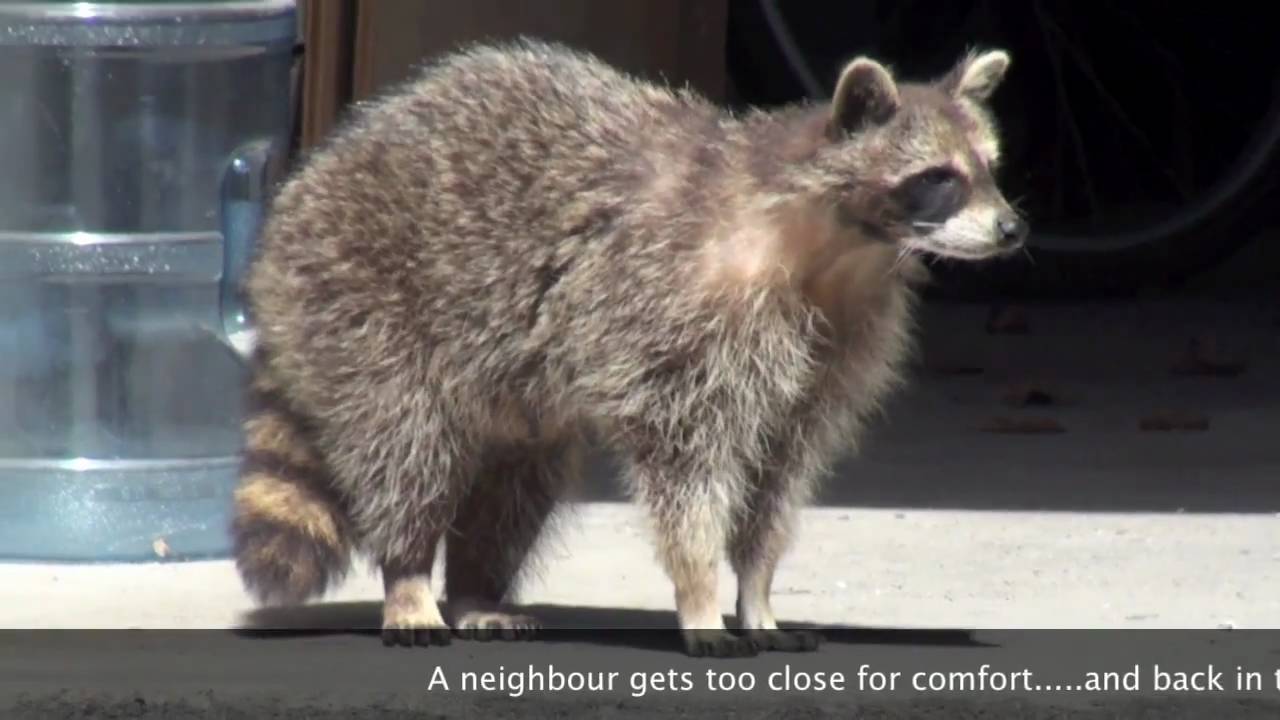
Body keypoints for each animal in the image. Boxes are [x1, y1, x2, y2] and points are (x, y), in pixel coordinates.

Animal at [231, 38, 1025, 657]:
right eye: (937, 179)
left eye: (990, 167)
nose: (1014, 229)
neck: (840, 249)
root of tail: (299, 195)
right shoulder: (679, 317)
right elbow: (687, 473)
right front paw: (701, 594)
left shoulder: (836, 346)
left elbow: (777, 480)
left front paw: (757, 592)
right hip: (364, 301)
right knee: (408, 451)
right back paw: (409, 576)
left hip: (505, 388)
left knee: (516, 482)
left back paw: (477, 589)